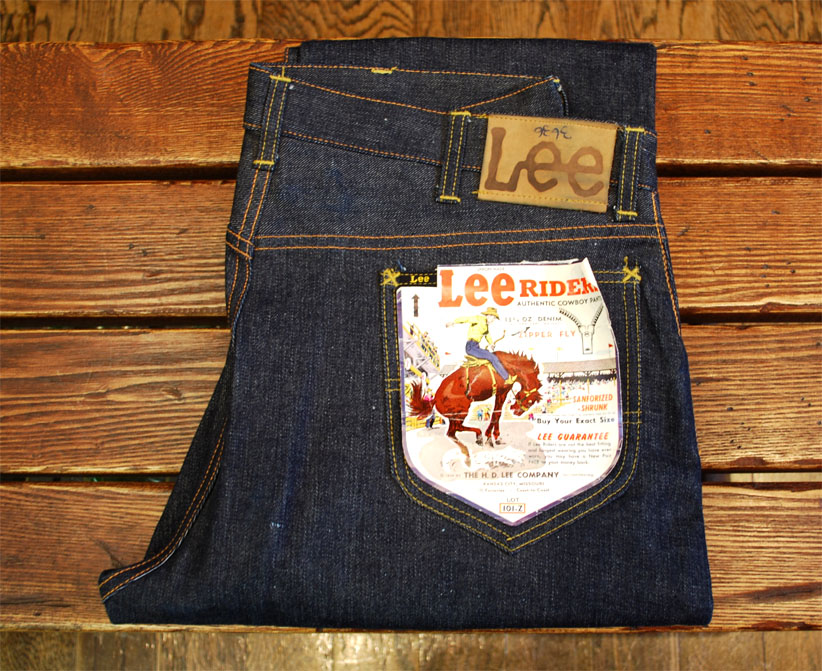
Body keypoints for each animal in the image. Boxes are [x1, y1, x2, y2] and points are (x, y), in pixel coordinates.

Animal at [408, 351, 542, 461]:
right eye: (530, 401)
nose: (517, 412)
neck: (509, 366)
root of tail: (434, 398)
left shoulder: (501, 393)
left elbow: (497, 414)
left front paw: (496, 437)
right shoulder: (502, 392)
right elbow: (496, 414)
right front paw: (490, 438)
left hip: (455, 416)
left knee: (451, 433)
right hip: (462, 410)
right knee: (456, 429)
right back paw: (478, 437)